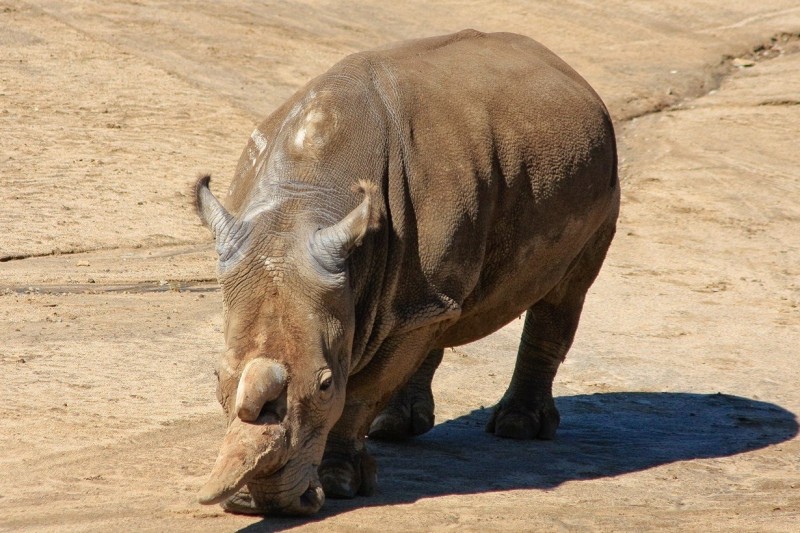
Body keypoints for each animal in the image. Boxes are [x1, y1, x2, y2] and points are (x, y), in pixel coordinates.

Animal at [192, 30, 620, 516]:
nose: (261, 504)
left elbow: (361, 390)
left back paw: (517, 428)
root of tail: (567, 69)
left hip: (600, 168)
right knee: (431, 311)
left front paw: (338, 484)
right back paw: (395, 427)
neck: (300, 202)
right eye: (216, 377)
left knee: (564, 292)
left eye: (325, 385)